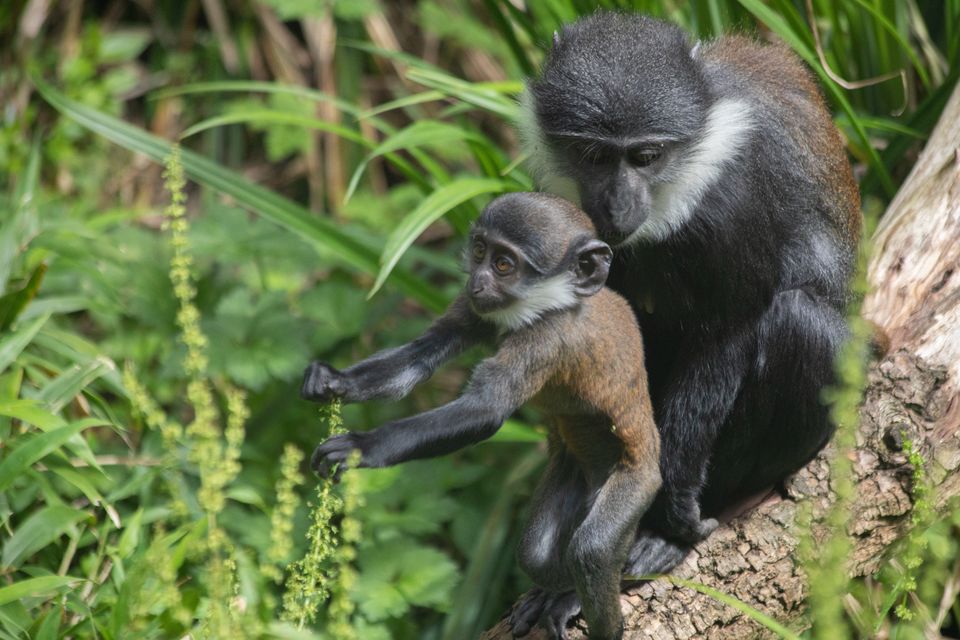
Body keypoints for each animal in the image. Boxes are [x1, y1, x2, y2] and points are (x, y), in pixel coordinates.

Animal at [306, 191, 660, 640]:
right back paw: (554, 590)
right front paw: (331, 380)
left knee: (592, 550)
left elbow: (486, 411)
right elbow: (419, 358)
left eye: (504, 264)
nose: (477, 281)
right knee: (534, 553)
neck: (553, 305)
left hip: (637, 481)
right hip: (570, 469)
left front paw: (360, 447)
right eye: (479, 251)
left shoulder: (547, 340)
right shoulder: (473, 307)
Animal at [512, 11, 868, 636]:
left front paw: (662, 525)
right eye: (594, 155)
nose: (617, 204)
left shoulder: (733, 203)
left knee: (798, 323)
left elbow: (727, 333)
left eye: (646, 156)